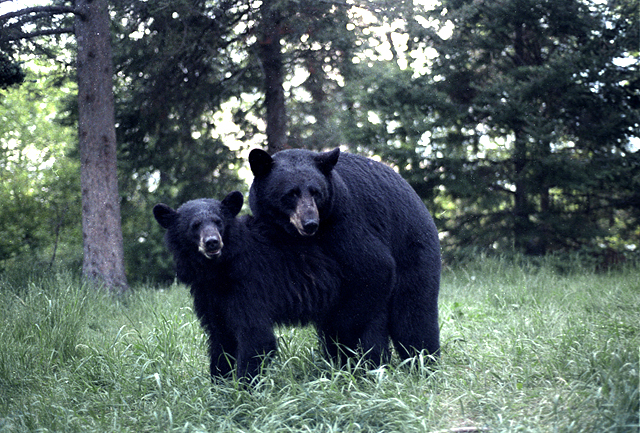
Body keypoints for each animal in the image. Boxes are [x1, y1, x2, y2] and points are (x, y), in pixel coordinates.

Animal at [153, 191, 341, 380]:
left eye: (218, 222)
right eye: (195, 225)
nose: (212, 242)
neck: (218, 270)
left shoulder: (250, 284)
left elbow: (255, 335)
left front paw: (244, 385)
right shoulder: (208, 295)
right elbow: (221, 337)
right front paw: (219, 382)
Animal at [249, 147, 441, 365]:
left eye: (316, 192)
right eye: (291, 194)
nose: (310, 223)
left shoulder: (343, 222)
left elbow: (374, 267)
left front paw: (344, 340)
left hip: (413, 248)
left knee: (413, 316)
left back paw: (420, 360)